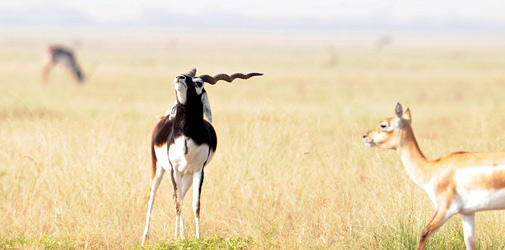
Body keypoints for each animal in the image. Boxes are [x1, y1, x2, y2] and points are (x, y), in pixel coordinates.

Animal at [141, 67, 262, 245]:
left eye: (199, 83)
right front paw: (179, 237)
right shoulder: (174, 170)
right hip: (159, 168)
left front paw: (196, 237)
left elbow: (195, 205)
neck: (186, 135)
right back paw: (145, 239)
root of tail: (164, 118)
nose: (179, 77)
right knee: (153, 197)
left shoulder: (199, 170)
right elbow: (178, 204)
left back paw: (179, 234)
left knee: (178, 197)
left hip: (187, 175)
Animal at [362, 102, 505, 250]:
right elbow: (470, 242)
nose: (365, 136)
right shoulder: (467, 212)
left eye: (383, 125)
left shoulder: (445, 209)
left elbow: (424, 232)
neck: (432, 168)